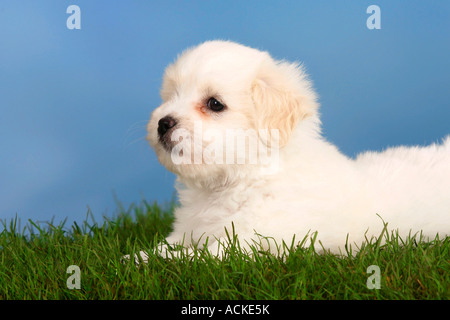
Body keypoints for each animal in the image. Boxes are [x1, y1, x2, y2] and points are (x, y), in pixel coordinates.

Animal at [142, 40, 450, 260]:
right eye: (171, 96)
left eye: (215, 104)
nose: (163, 123)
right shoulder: (188, 230)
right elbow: (167, 248)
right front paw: (140, 257)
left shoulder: (252, 242)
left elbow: (195, 258)